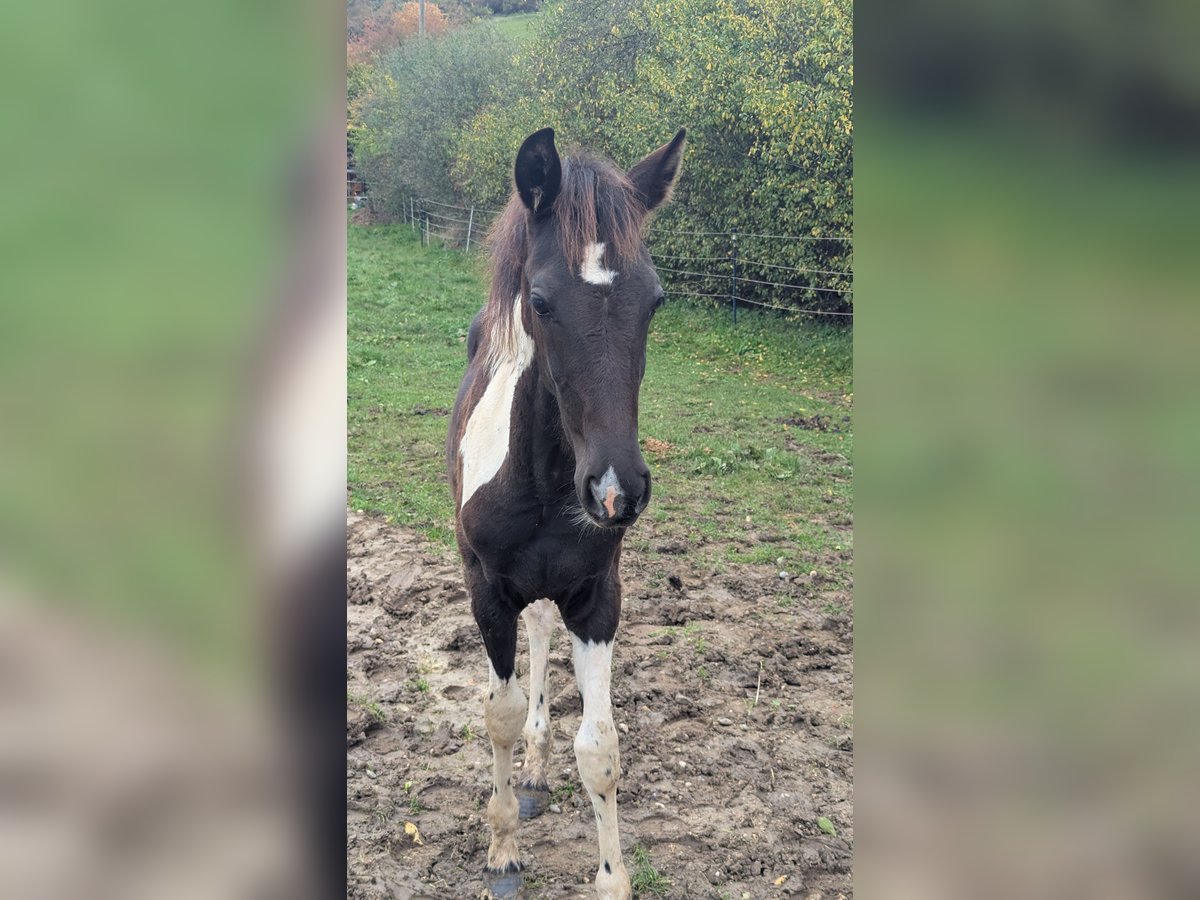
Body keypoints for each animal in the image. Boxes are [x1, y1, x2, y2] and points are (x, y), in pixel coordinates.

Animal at [446, 126, 685, 899]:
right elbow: (498, 714)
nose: (617, 489)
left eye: (655, 301)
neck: (548, 485)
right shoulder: (487, 592)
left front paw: (612, 878)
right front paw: (501, 851)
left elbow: (600, 749)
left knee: (543, 630)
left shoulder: (596, 597)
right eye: (542, 301)